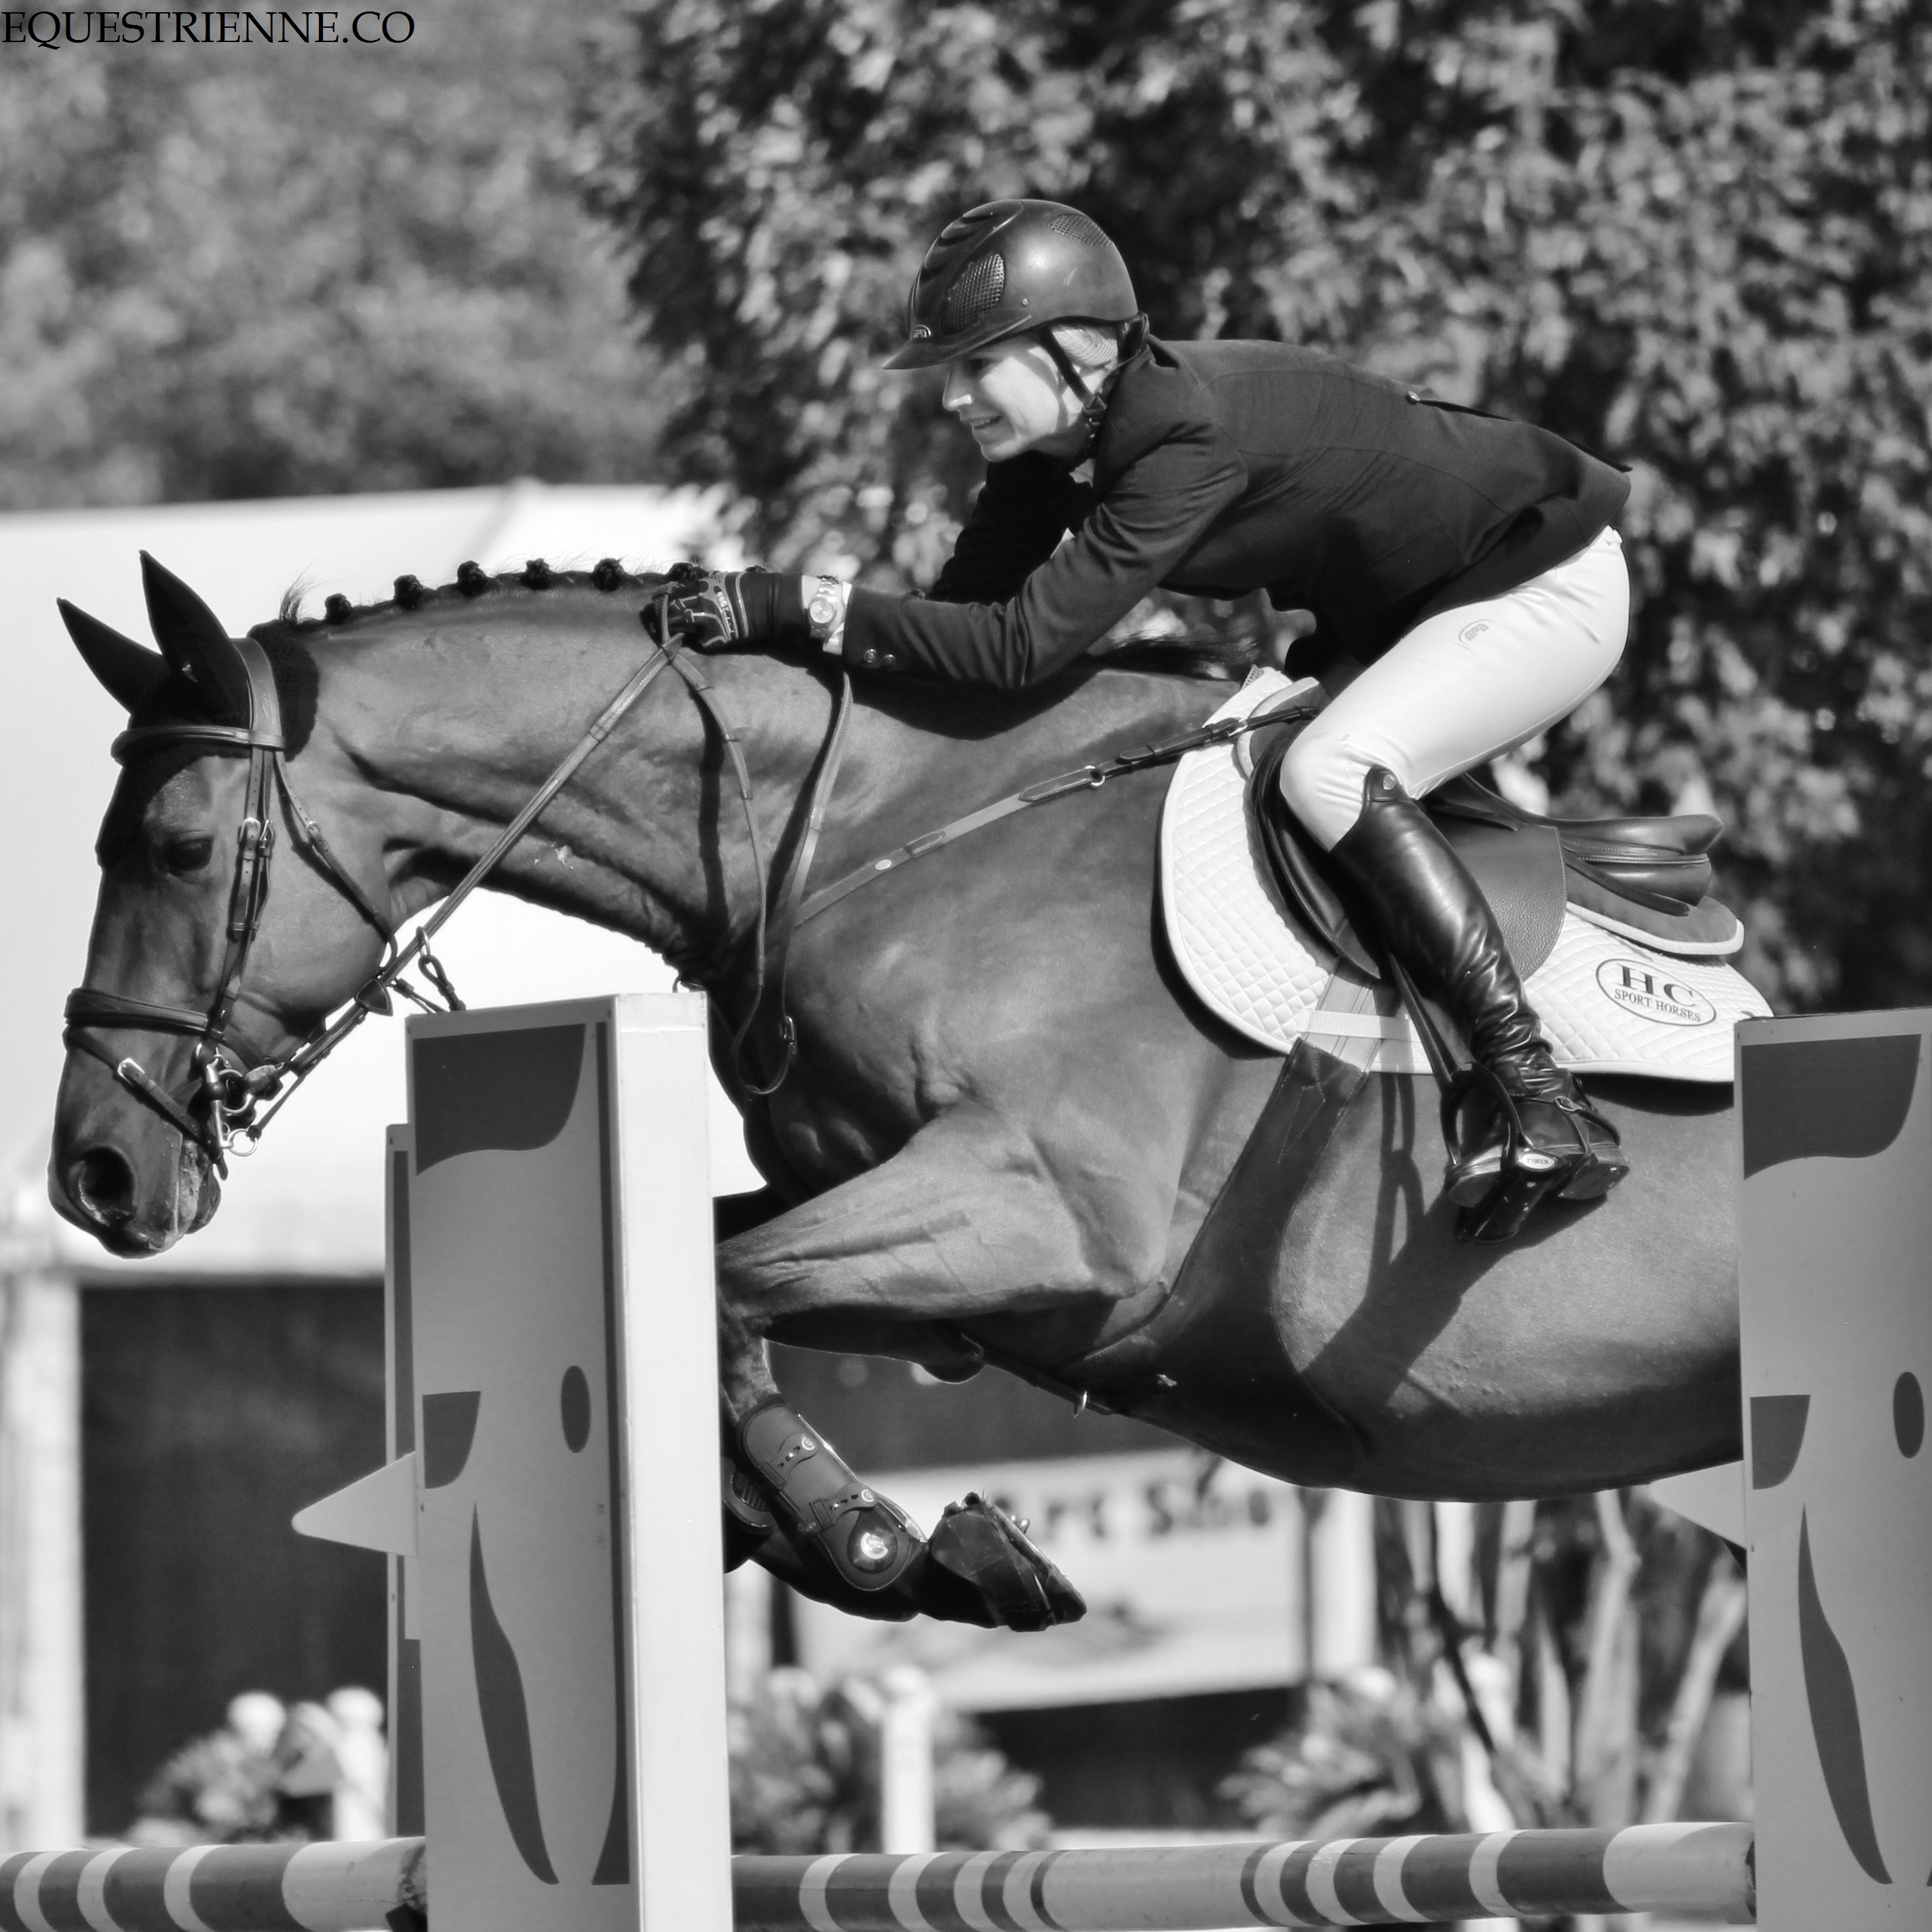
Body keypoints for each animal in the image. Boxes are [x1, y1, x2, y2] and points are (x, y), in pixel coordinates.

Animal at [49, 555, 1743, 1623]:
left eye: (179, 848)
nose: (96, 1172)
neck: (878, 827)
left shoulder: (1046, 1225)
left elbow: (724, 1297)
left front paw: (881, 1543)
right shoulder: (904, 1224)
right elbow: (710, 1288)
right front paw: (891, 1551)